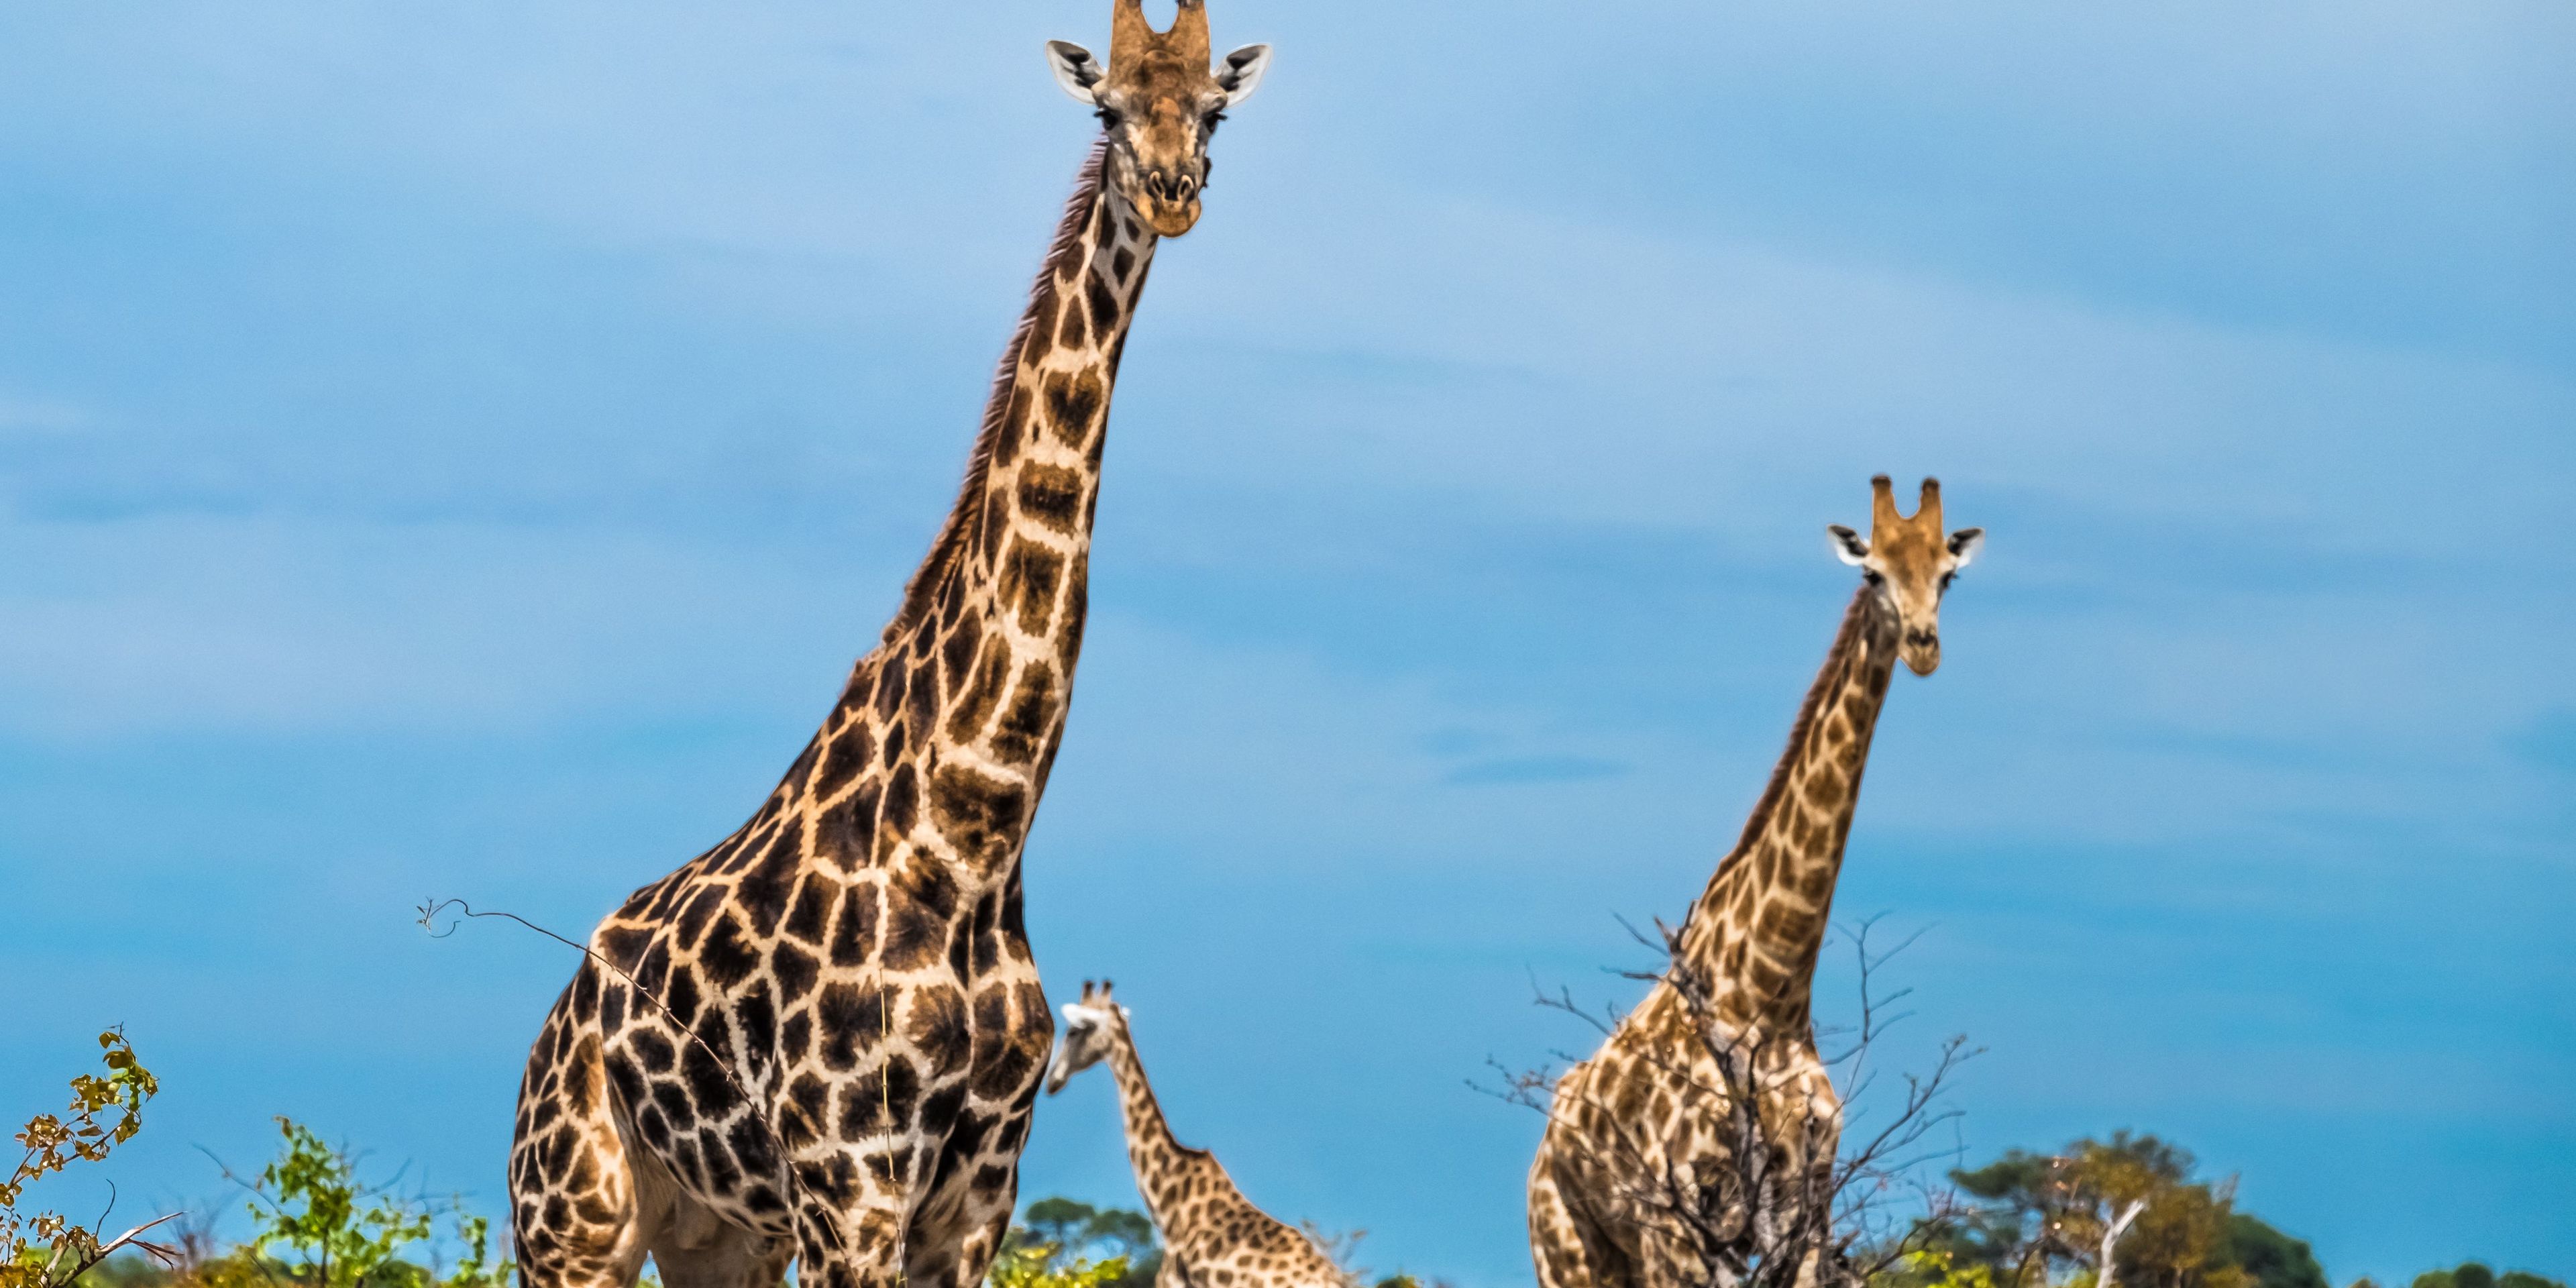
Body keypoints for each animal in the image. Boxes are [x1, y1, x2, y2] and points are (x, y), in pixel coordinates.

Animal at [504, 9, 1276, 1288]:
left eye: (1212, 109)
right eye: (1107, 108)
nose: (1171, 192)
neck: (974, 835)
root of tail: (550, 1031)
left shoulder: (971, 1203)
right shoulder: (849, 1187)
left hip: (717, 1235)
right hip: (572, 1221)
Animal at [1524, 477, 1984, 1288]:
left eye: (1947, 576)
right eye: (1873, 575)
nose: (1923, 646)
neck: (1771, 993)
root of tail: (1546, 1144)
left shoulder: (1805, 1209)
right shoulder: (1676, 1222)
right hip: (1567, 1247)